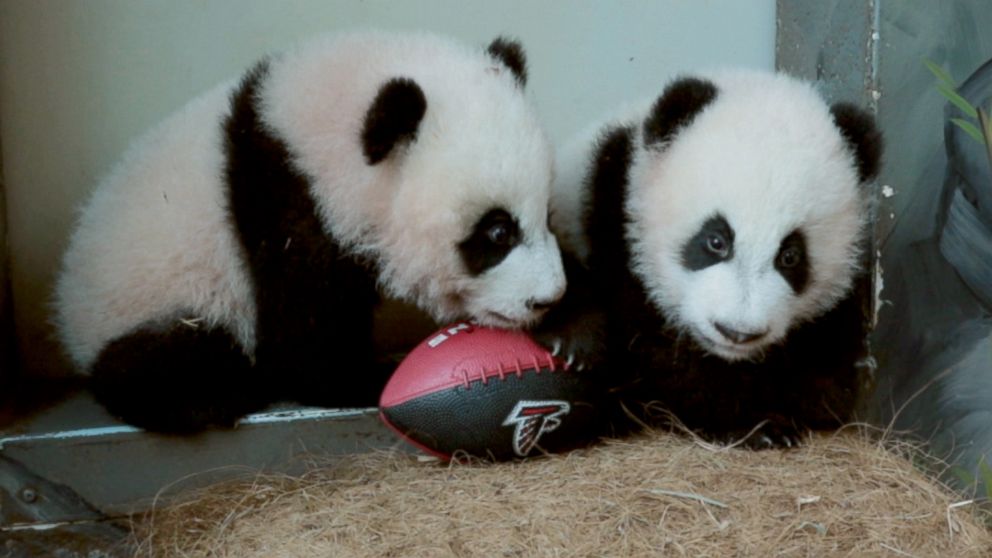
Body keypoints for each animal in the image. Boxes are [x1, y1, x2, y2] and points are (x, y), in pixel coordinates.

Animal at [54, 30, 564, 436]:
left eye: (546, 215)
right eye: (497, 232)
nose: (548, 299)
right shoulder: (285, 204)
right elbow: (302, 329)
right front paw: (367, 378)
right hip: (153, 300)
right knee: (171, 357)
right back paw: (209, 399)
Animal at [544, 71, 884, 450]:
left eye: (791, 256)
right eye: (716, 241)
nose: (736, 332)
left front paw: (811, 395)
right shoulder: (618, 220)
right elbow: (660, 351)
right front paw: (754, 424)